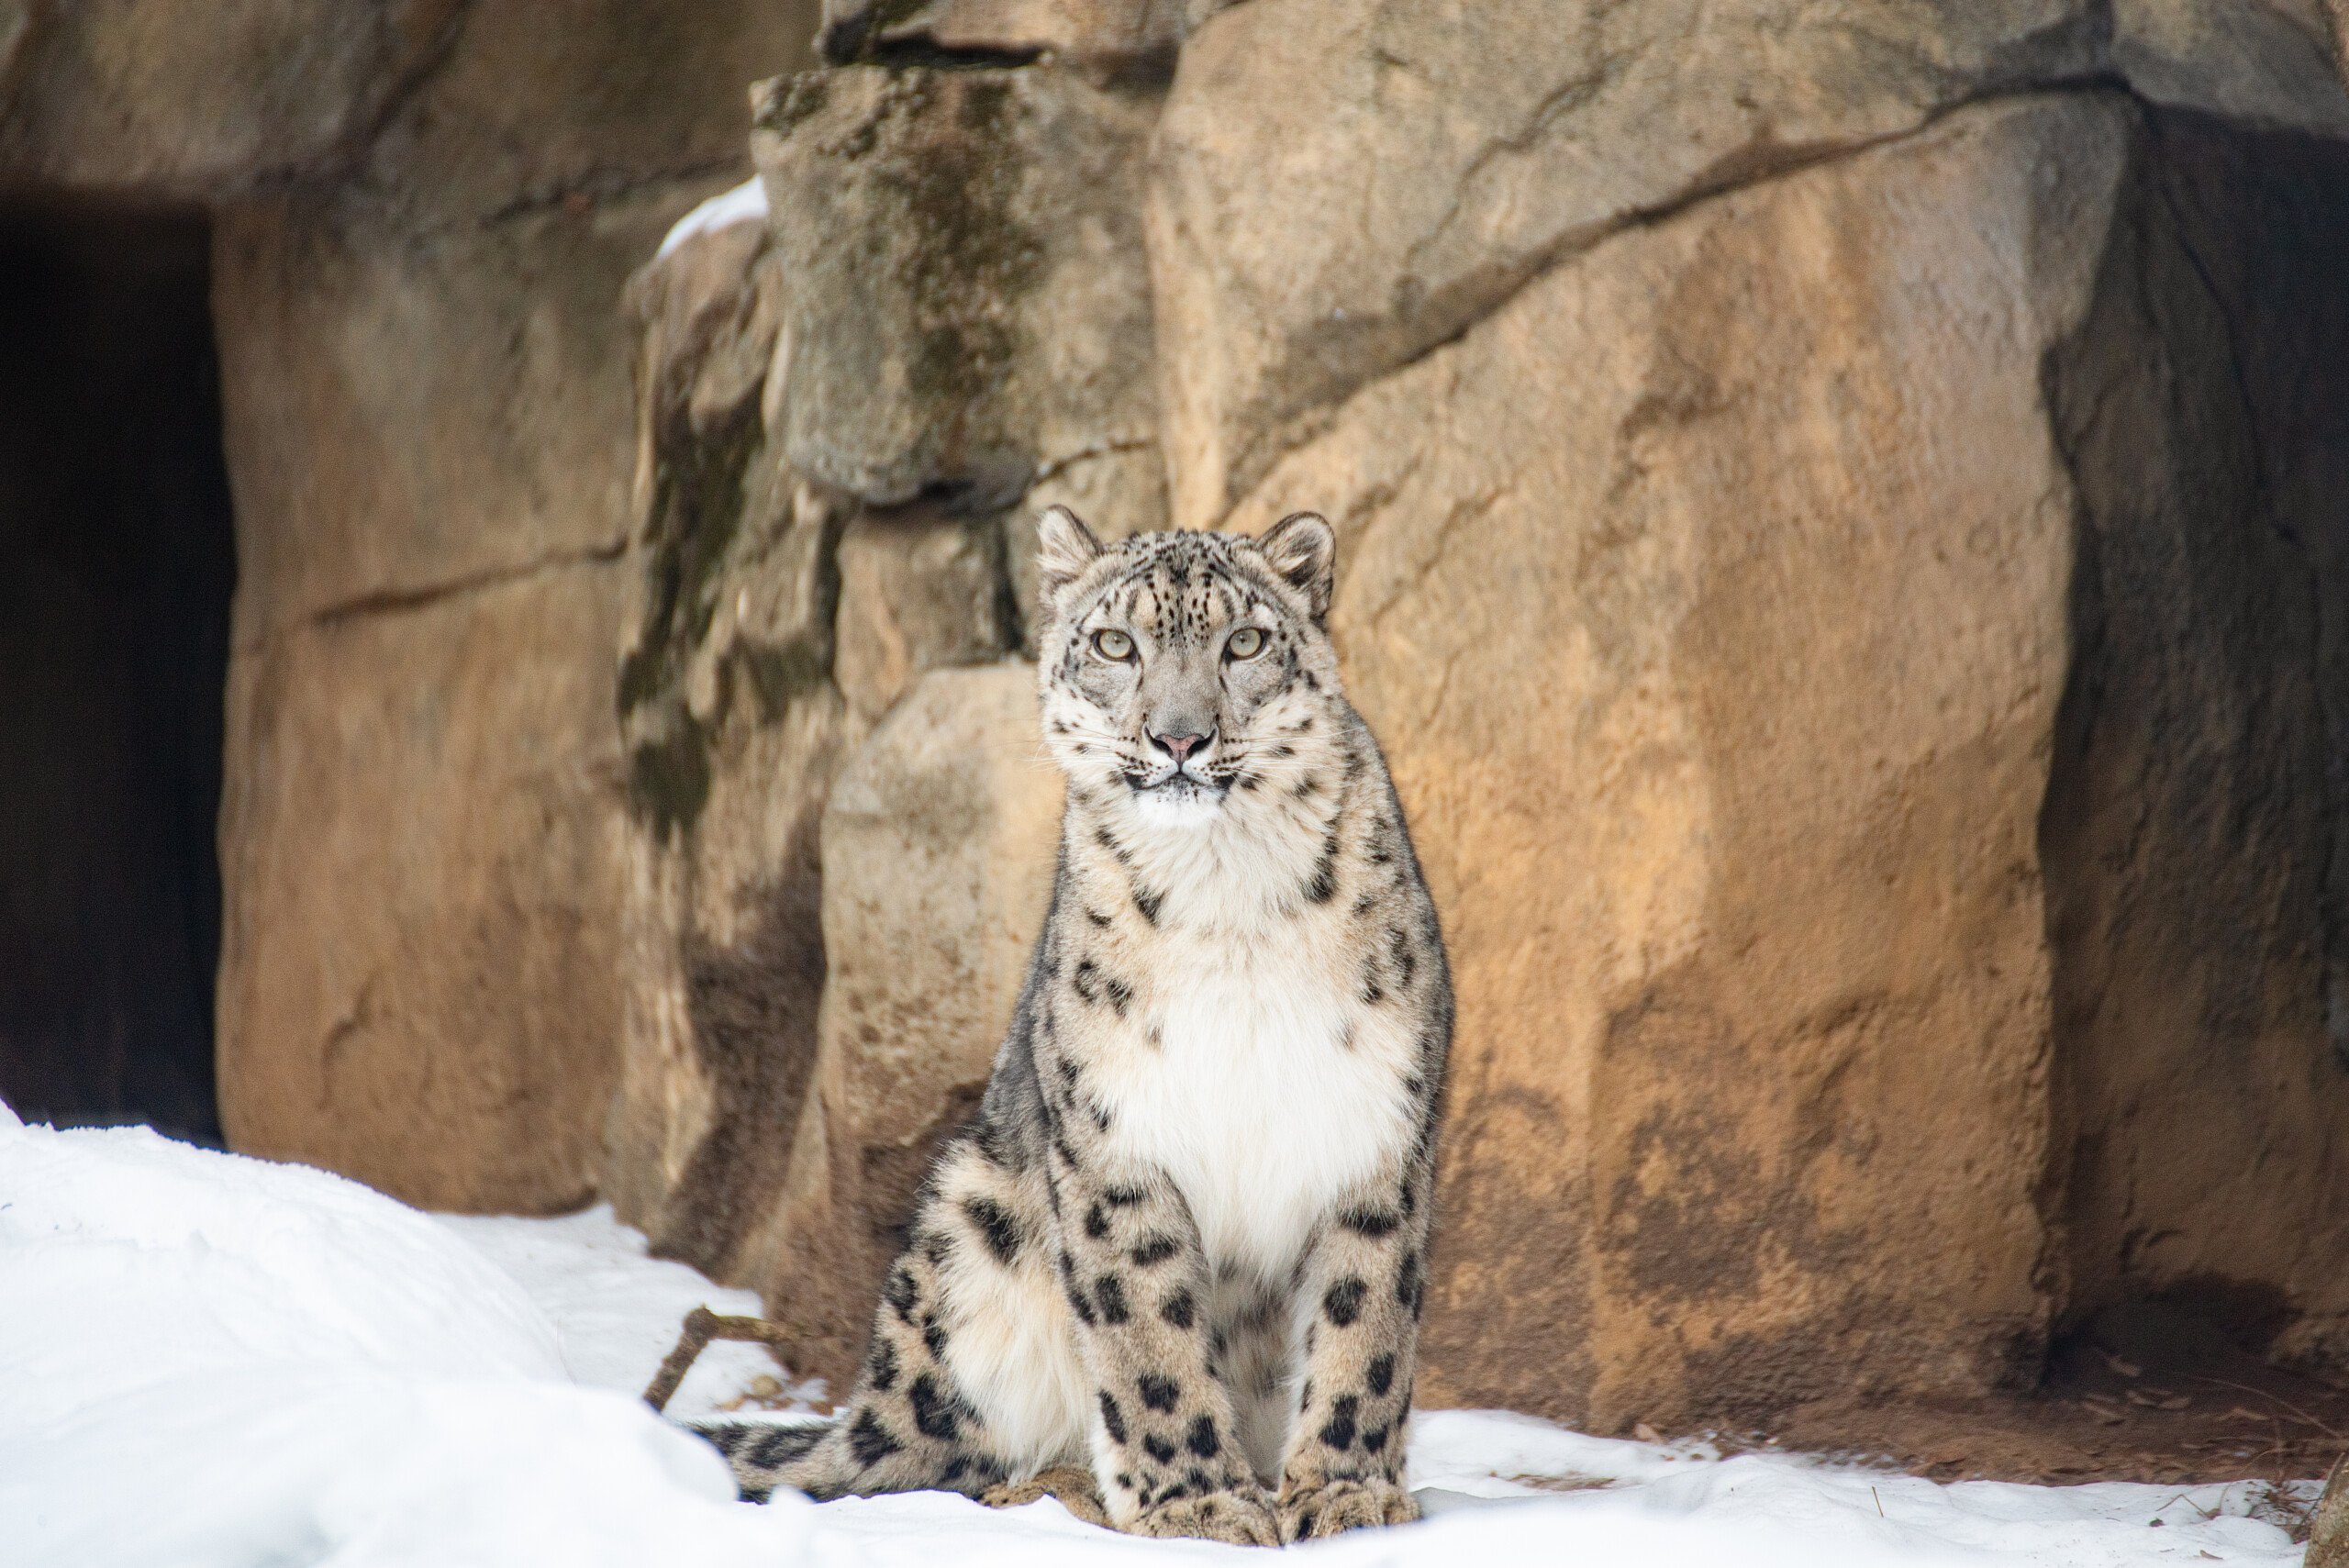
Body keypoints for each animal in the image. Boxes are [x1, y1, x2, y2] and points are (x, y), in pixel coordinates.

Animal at [691, 507, 1452, 1546]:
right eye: (1116, 644)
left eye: (1244, 643)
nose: (1180, 736)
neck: (1231, 897)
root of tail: (868, 1408)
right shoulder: (1115, 1131)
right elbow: (1149, 1332)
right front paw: (1200, 1503)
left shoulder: (1372, 1119)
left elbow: (1364, 1319)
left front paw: (1345, 1492)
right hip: (966, 1224)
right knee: (938, 1459)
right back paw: (1057, 1488)